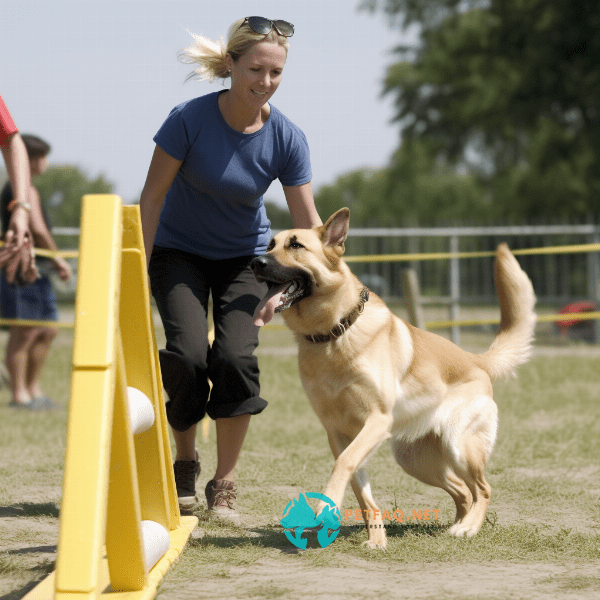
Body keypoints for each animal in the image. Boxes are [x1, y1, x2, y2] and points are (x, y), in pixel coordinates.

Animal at [251, 210, 536, 548]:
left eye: (295, 245)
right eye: (270, 245)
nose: (255, 262)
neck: (333, 335)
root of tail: (476, 360)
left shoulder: (376, 421)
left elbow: (343, 464)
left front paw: (324, 505)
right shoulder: (338, 433)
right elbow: (360, 489)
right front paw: (376, 539)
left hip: (459, 447)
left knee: (482, 489)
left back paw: (468, 528)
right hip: (414, 460)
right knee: (463, 492)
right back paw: (458, 524)